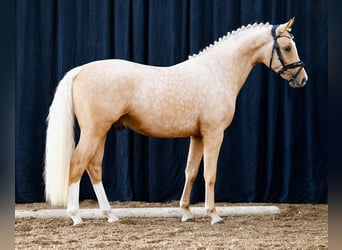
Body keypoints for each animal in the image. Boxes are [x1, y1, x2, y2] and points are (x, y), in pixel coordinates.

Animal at [43, 17, 308, 225]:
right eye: (286, 47)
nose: (302, 79)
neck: (216, 72)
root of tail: (81, 70)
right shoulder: (214, 133)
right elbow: (209, 173)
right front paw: (214, 214)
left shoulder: (197, 135)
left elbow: (190, 171)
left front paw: (186, 212)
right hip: (94, 131)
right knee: (77, 164)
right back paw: (76, 216)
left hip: (101, 132)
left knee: (94, 167)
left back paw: (110, 215)